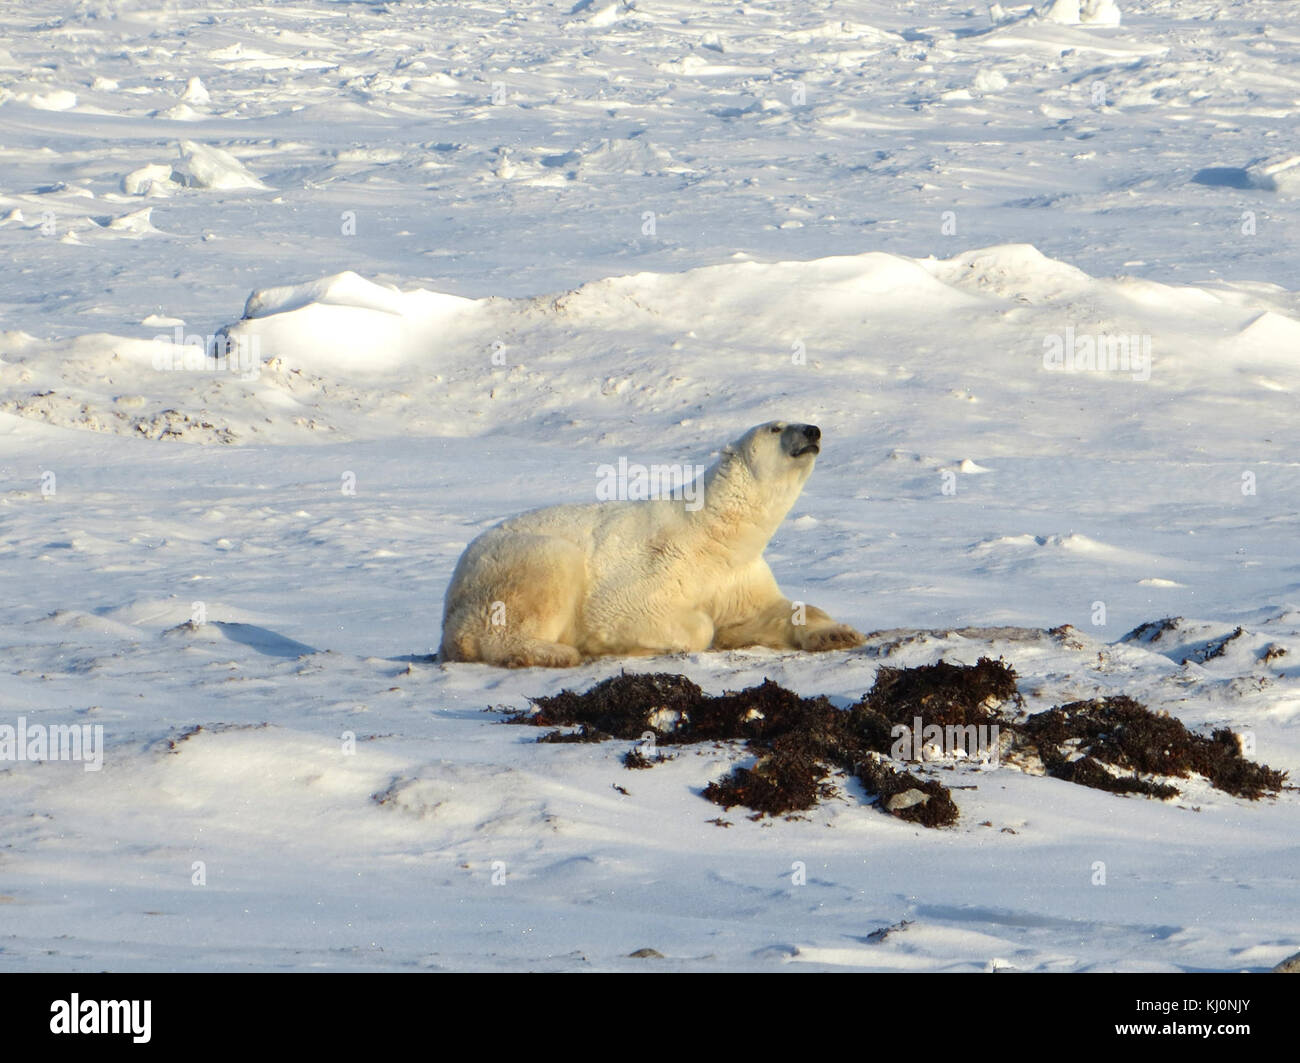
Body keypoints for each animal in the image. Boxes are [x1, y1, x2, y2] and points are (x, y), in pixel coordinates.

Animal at [441, 421, 868, 662]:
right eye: (776, 428)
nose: (813, 431)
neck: (715, 531)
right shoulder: (661, 562)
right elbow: (656, 616)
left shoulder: (737, 572)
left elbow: (773, 610)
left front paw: (837, 632)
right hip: (520, 559)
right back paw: (553, 652)